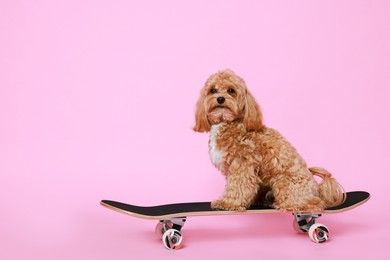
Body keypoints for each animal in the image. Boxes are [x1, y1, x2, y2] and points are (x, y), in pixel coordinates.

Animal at [193, 70, 344, 212]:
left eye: (231, 90)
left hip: (284, 184)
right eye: (212, 90)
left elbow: (238, 186)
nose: (220, 99)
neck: (227, 122)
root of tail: (316, 188)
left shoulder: (242, 163)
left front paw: (228, 203)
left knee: (314, 203)